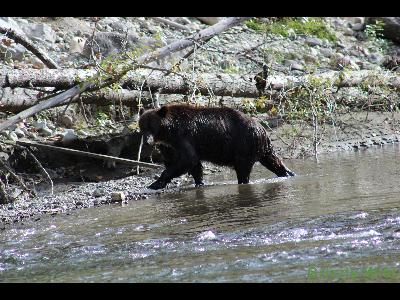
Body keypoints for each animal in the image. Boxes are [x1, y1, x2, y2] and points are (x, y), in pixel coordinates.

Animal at [139, 104, 296, 190]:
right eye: (142, 127)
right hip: (260, 146)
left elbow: (187, 159)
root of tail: (262, 128)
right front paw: (199, 182)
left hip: (243, 144)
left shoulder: (183, 137)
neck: (167, 133)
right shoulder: (170, 146)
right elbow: (193, 164)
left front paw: (155, 183)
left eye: (152, 126)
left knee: (243, 169)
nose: (147, 142)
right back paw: (288, 173)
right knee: (273, 160)